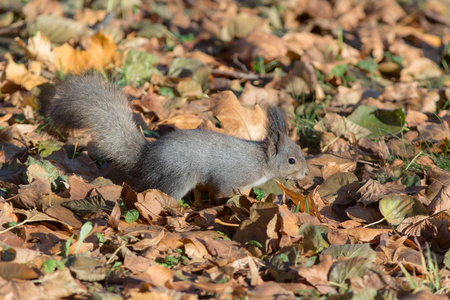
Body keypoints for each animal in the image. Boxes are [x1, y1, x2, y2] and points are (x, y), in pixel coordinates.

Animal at [47, 74, 312, 199]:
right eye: (291, 160)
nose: (306, 173)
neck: (261, 161)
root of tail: (145, 157)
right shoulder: (232, 176)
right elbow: (223, 191)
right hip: (180, 175)